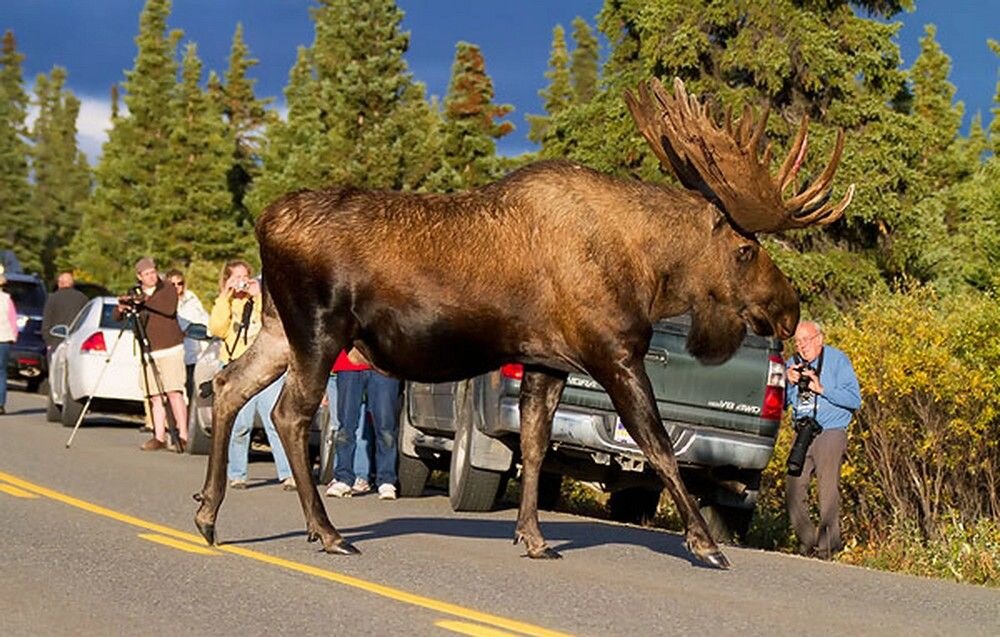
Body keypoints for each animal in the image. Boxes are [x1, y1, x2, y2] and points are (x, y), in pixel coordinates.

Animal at [193, 77, 852, 568]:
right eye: (744, 251)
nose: (788, 310)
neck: (648, 272)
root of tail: (264, 224)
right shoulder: (614, 352)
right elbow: (658, 445)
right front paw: (706, 544)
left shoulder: (546, 361)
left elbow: (535, 448)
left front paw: (533, 538)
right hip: (320, 329)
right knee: (288, 413)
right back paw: (325, 532)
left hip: (279, 328)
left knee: (226, 385)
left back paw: (207, 513)